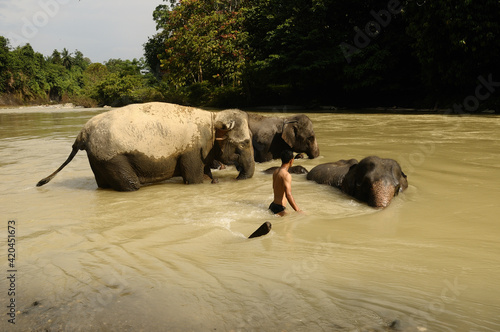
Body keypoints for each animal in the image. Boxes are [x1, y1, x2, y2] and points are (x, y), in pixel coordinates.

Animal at [36, 101, 254, 191]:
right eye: (245, 143)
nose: (237, 177)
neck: (213, 118)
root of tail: (83, 132)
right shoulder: (191, 150)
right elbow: (194, 180)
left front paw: (213, 181)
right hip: (112, 158)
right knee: (131, 186)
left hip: (97, 158)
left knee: (102, 185)